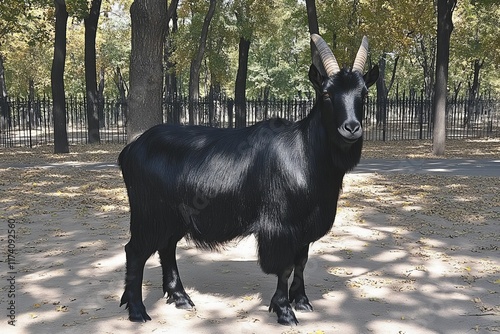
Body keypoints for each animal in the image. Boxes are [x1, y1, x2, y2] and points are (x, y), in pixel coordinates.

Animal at [120, 34, 378, 324]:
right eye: (326, 93)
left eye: (364, 94)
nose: (351, 128)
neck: (305, 154)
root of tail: (130, 150)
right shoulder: (280, 226)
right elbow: (285, 267)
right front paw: (284, 310)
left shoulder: (305, 227)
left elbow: (301, 262)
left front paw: (302, 301)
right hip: (149, 213)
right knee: (135, 251)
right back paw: (138, 311)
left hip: (173, 216)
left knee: (166, 248)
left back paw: (180, 298)